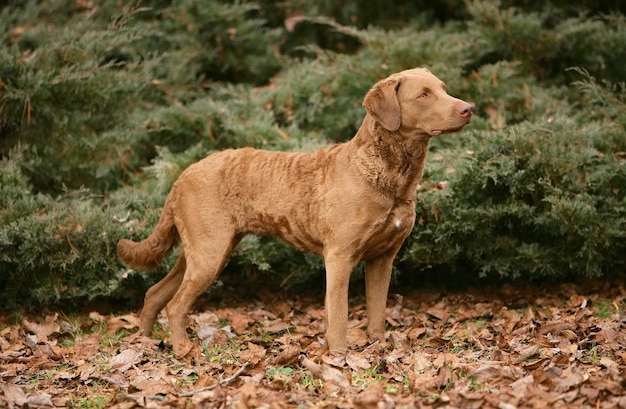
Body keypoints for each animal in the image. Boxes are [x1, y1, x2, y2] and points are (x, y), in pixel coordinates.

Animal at [117, 67, 470, 354]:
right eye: (423, 95)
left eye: (443, 88)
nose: (469, 108)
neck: (386, 176)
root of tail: (181, 176)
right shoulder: (339, 256)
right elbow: (338, 314)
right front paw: (339, 357)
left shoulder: (383, 257)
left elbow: (377, 311)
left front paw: (378, 347)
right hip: (209, 253)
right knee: (175, 305)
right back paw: (182, 349)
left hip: (201, 251)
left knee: (155, 293)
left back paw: (144, 342)